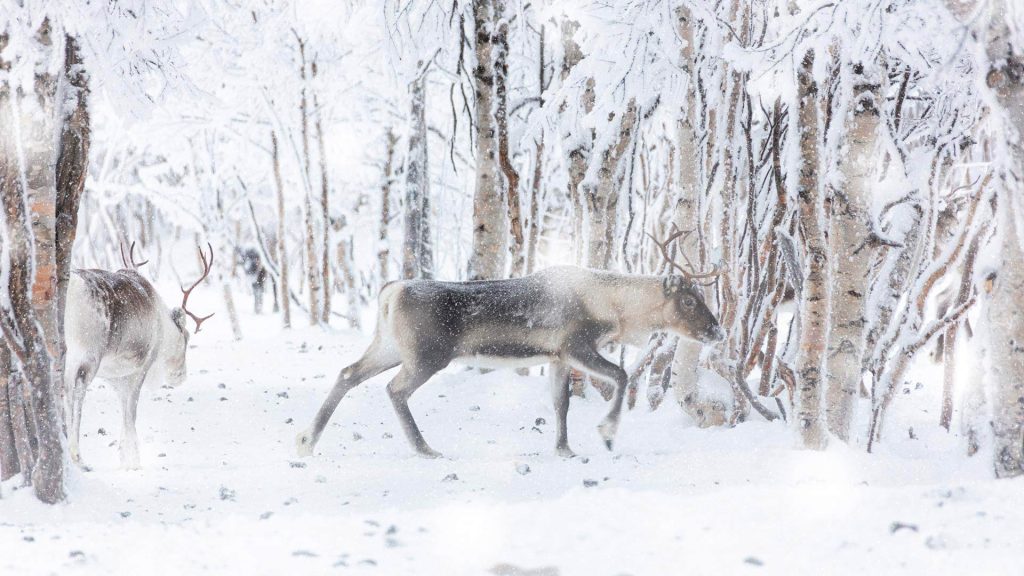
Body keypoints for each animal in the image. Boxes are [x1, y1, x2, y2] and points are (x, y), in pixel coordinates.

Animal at [64, 242, 214, 470]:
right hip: (86, 354)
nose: (180, 376)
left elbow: (125, 412)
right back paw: (77, 456)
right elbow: (131, 414)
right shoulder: (141, 368)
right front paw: (134, 461)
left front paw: (123, 455)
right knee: (77, 390)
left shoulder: (117, 378)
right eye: (186, 337)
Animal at [297, 229, 724, 459]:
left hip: (389, 347)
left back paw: (306, 441)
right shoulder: (576, 344)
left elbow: (561, 403)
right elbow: (620, 375)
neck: (616, 309)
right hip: (427, 355)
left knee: (348, 373)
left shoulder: (556, 356)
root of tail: (390, 291)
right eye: (689, 300)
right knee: (394, 389)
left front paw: (565, 449)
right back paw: (424, 448)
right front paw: (606, 434)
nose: (718, 332)